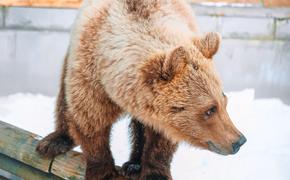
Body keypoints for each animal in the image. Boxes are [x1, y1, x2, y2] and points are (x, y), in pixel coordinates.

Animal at [35, 0, 245, 179]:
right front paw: (103, 171)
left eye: (224, 101)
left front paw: (154, 172)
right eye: (210, 109)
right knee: (64, 96)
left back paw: (134, 164)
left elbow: (160, 136)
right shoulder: (90, 75)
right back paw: (53, 142)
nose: (239, 141)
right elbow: (89, 118)